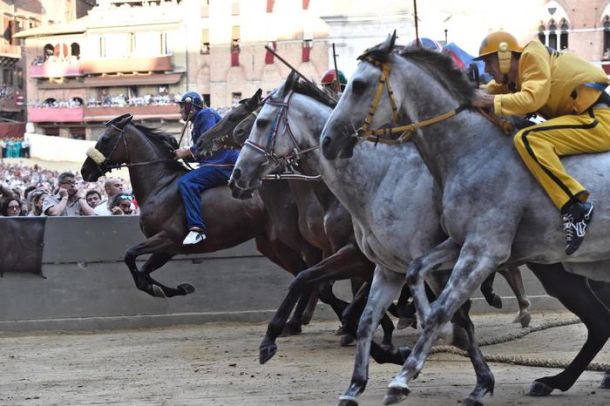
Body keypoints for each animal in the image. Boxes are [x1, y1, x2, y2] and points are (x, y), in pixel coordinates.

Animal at [320, 32, 610, 404]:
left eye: (358, 85)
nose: (328, 140)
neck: (471, 151)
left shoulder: (483, 251)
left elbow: (442, 310)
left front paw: (404, 377)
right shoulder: (457, 243)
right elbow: (416, 276)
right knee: (600, 322)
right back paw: (555, 380)